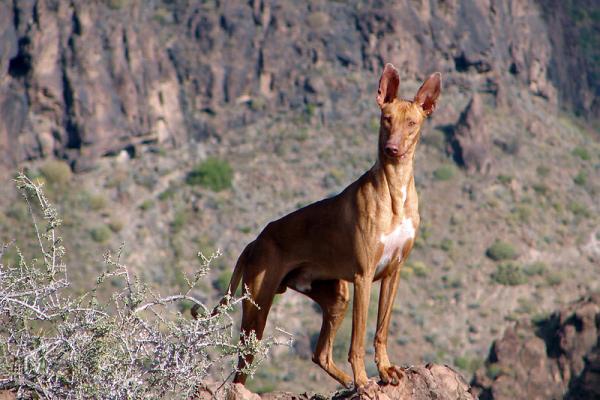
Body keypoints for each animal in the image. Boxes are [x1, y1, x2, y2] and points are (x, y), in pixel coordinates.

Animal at [223, 65, 438, 388]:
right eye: (386, 119)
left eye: (411, 123)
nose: (392, 149)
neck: (395, 190)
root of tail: (255, 241)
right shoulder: (363, 276)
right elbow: (358, 339)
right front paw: (363, 379)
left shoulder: (393, 273)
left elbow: (381, 330)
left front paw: (385, 370)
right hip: (257, 310)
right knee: (240, 371)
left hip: (337, 297)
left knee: (320, 354)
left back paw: (347, 381)